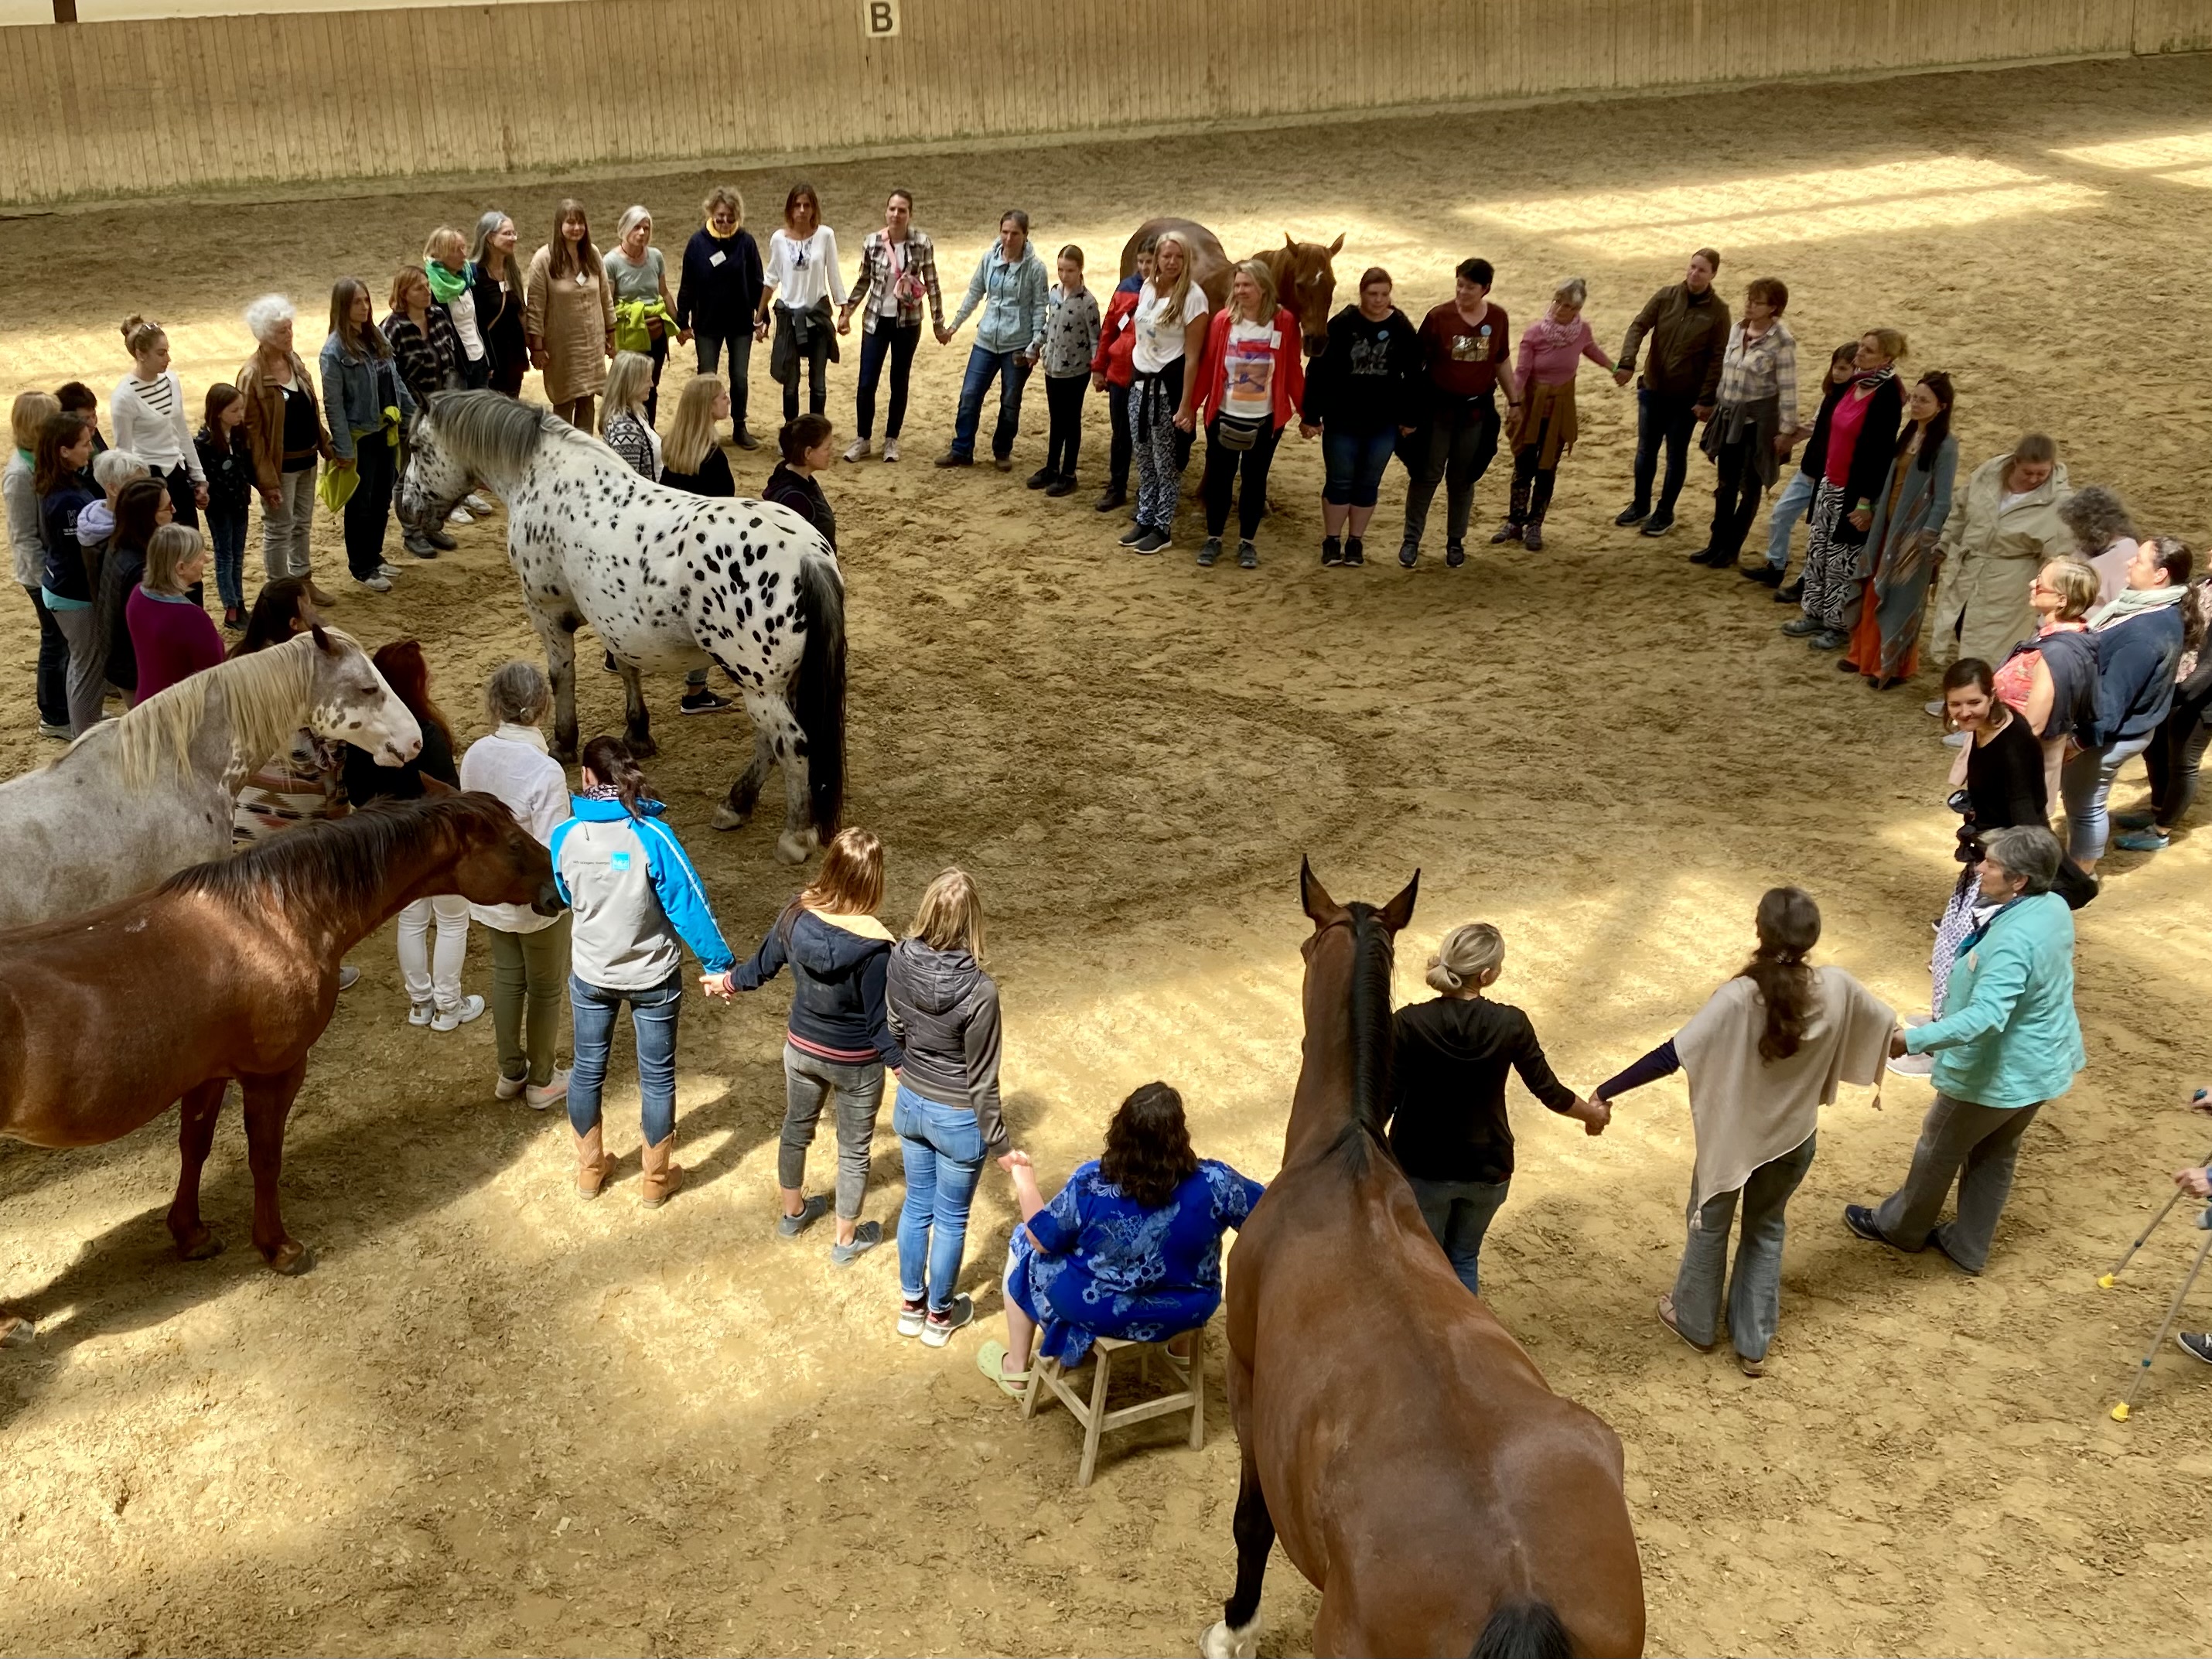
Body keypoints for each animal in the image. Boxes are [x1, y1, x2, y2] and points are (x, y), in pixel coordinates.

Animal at [0, 794, 561, 1347]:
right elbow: (265, 1159)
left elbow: (194, 1148)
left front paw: (191, 1234)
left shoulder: (208, 1074)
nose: (558, 891)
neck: (270, 920)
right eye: (514, 842)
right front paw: (279, 1248)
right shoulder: (274, 1073)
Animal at [395, 389, 846, 864]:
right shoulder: (613, 620)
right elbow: (628, 668)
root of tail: (807, 555)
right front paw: (638, 733)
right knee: (769, 743)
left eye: (418, 447)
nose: (406, 507)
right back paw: (735, 804)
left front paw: (564, 742)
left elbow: (562, 676)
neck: (544, 477)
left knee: (791, 745)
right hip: (775, 683)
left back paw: (794, 836)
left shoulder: (547, 613)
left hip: (759, 685)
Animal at [1200, 862, 1645, 1659]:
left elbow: (1250, 1523)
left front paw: (1235, 1625)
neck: (1341, 1152)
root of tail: (1520, 1593)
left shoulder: (1244, 1377)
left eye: (1305, 946)